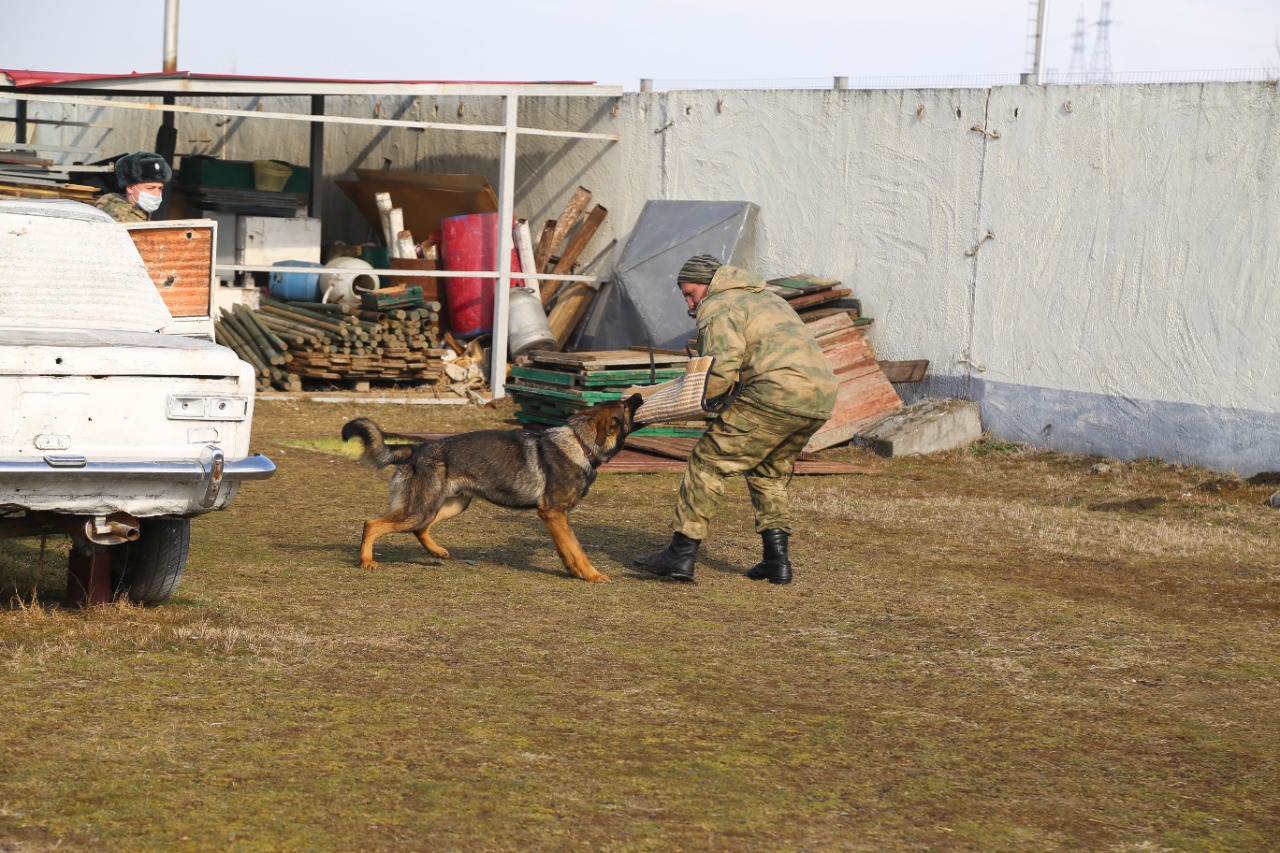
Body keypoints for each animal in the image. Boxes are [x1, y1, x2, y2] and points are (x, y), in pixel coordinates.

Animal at [340, 394, 640, 581]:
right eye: (625, 406)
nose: (638, 395)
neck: (580, 443)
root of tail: (416, 449)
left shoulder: (556, 518)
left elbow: (566, 548)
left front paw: (575, 572)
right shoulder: (553, 513)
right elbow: (576, 547)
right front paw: (591, 575)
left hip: (451, 505)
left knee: (420, 529)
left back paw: (436, 551)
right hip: (421, 509)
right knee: (372, 524)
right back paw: (366, 561)